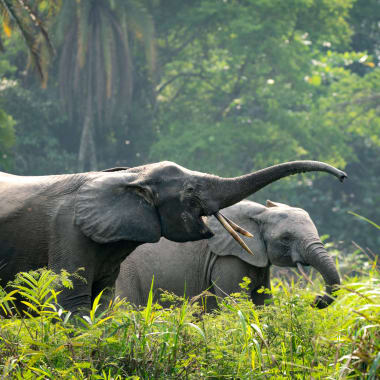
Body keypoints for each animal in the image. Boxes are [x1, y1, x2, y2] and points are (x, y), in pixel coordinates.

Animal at [116, 199, 342, 308]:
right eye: (286, 238)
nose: (315, 299)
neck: (260, 212)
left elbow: (264, 303)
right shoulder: (228, 259)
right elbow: (235, 304)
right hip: (125, 273)